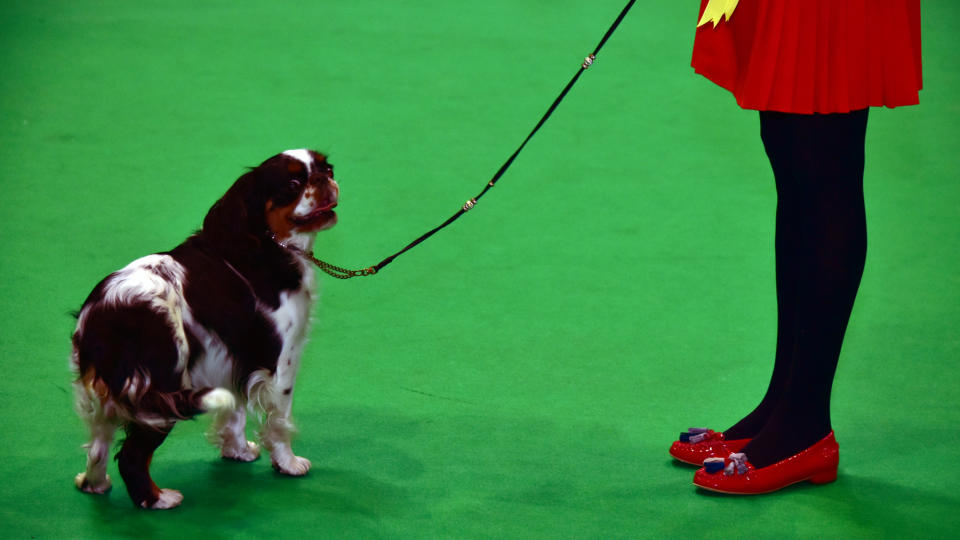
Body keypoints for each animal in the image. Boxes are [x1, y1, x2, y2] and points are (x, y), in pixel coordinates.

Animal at [69, 150, 338, 508]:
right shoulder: (280, 363)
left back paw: (95, 484)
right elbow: (280, 420)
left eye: (327, 167)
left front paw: (238, 451)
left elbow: (235, 412)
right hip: (160, 389)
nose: (324, 178)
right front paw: (288, 464)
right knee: (131, 456)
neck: (264, 247)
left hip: (112, 394)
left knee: (99, 445)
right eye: (293, 183)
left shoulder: (234, 356)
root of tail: (103, 317)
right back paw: (159, 500)